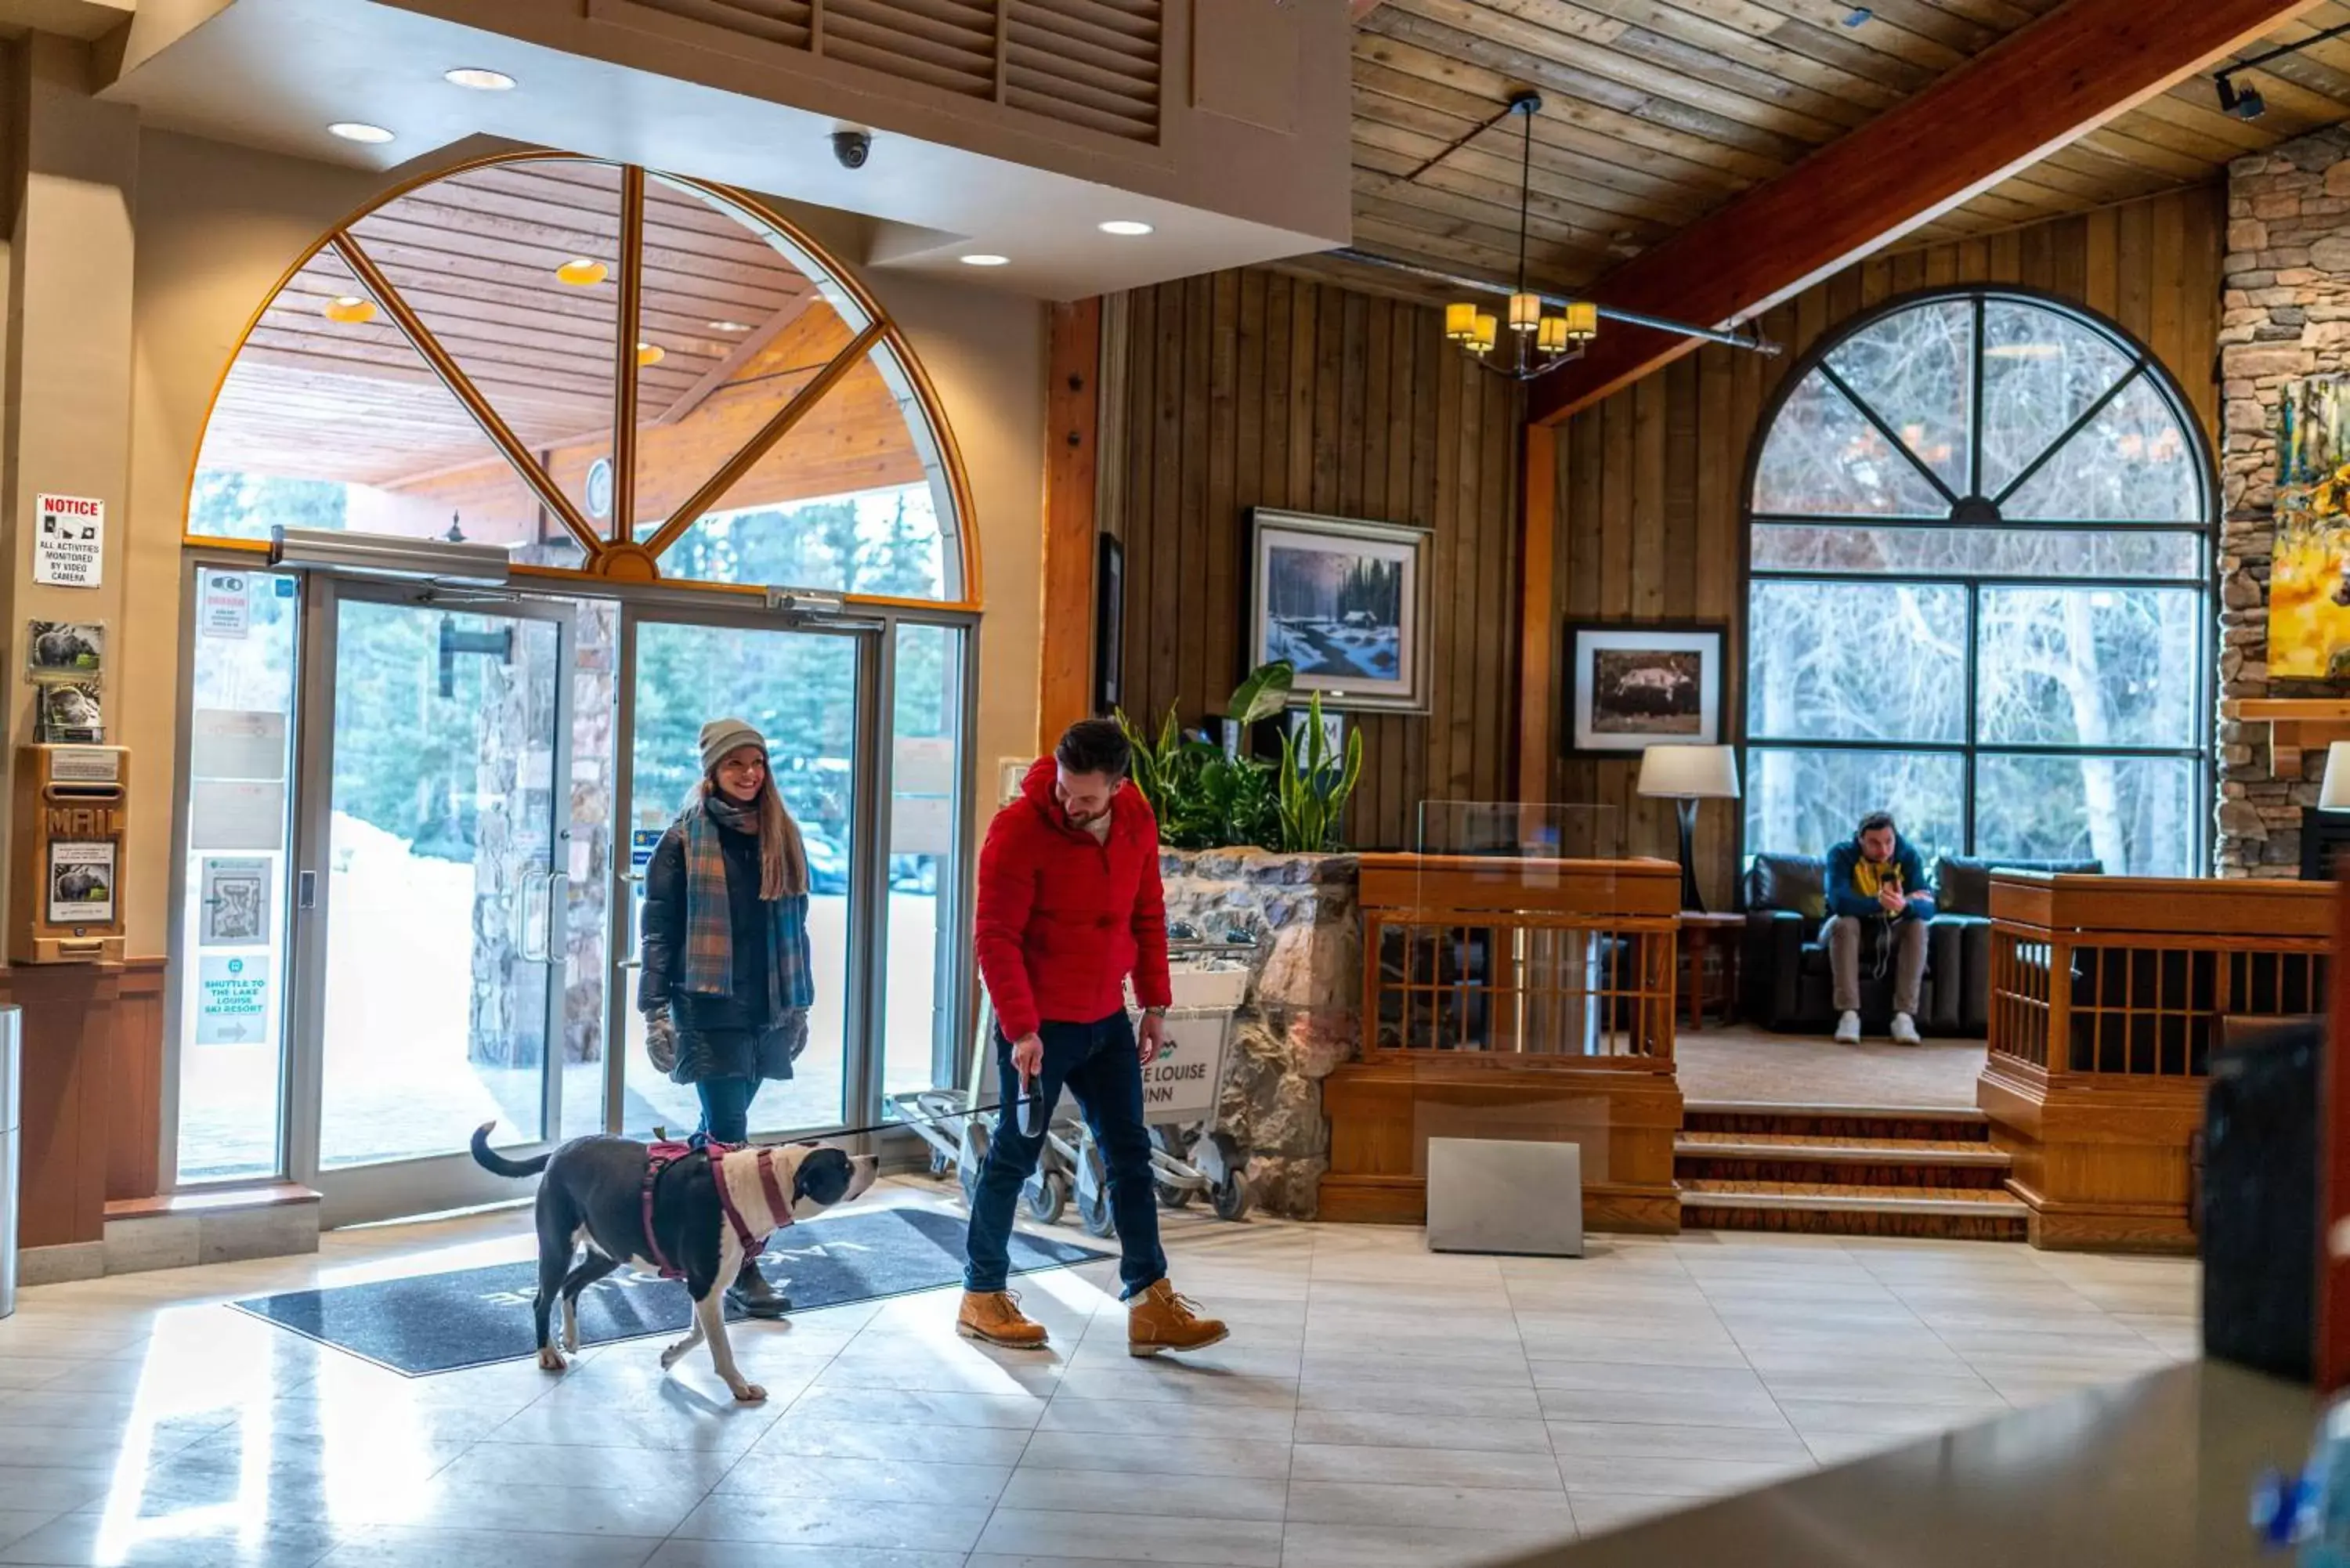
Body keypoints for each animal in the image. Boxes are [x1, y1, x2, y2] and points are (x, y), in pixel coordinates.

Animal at [472, 1123, 879, 1400]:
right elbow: (720, 1346)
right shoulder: (704, 1283)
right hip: (558, 1245)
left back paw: (570, 1337)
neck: (761, 1184)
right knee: (542, 1298)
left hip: (610, 1251)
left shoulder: (708, 1287)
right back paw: (547, 1353)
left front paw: (670, 1357)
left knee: (572, 1286)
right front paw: (740, 1386)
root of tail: (560, 1150)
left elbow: (700, 1333)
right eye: (844, 1167)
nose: (873, 1158)